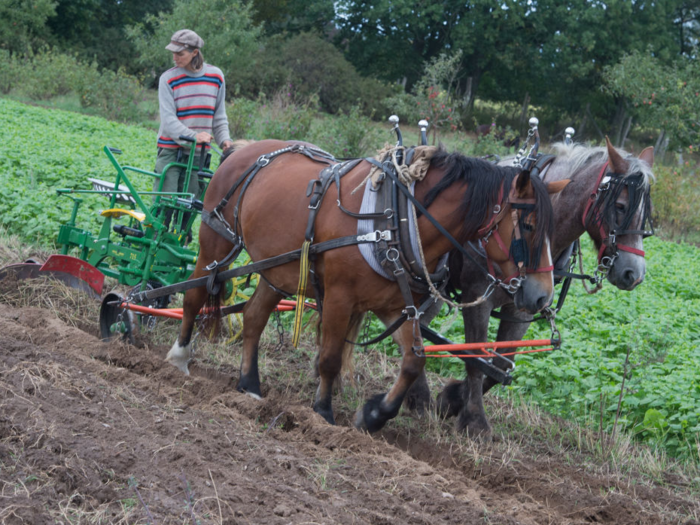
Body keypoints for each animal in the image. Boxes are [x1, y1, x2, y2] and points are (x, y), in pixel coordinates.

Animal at [167, 139, 568, 430]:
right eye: (528, 226)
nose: (542, 295)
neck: (397, 218)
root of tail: (243, 148)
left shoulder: (395, 305)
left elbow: (414, 361)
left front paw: (375, 415)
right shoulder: (340, 298)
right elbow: (330, 358)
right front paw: (323, 412)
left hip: (279, 269)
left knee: (253, 317)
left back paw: (250, 385)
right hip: (216, 242)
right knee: (194, 295)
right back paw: (179, 358)